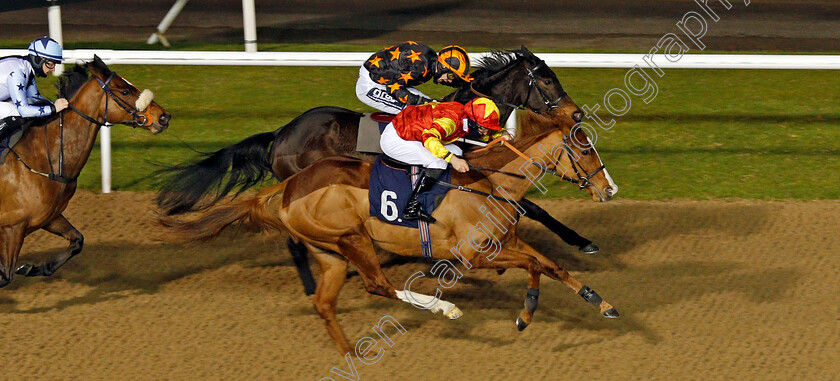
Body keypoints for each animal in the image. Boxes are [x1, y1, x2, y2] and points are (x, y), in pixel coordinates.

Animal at [0, 56, 171, 286]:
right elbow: (5, 276)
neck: (43, 159)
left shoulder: (49, 217)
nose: (163, 117)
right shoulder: (13, 227)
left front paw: (33, 268)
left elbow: (77, 241)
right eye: (125, 91)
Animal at [164, 111, 620, 354]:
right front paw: (525, 314)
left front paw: (601, 302)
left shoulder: (505, 242)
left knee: (325, 304)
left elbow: (553, 266)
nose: (610, 189)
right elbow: (534, 267)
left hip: (330, 252)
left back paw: (349, 350)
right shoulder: (474, 255)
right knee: (377, 285)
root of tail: (288, 186)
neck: (489, 181)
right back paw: (444, 309)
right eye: (584, 149)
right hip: (351, 239)